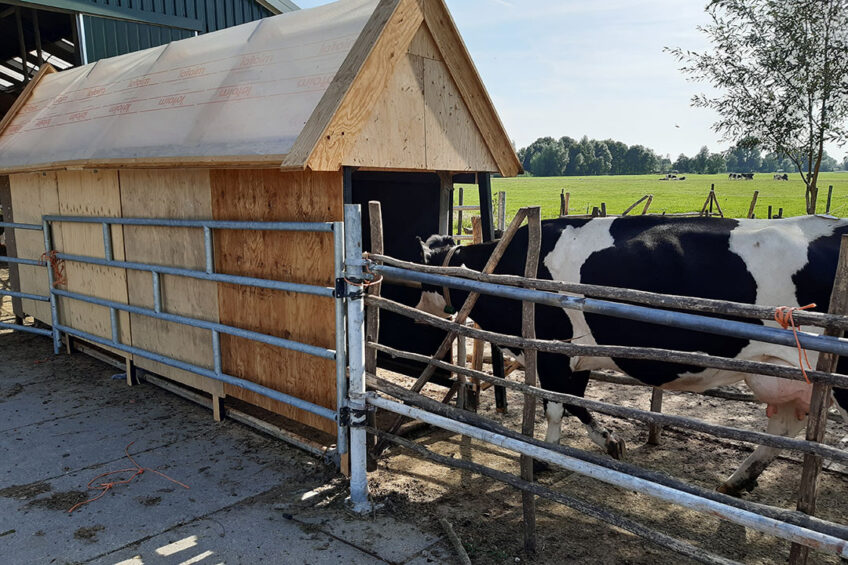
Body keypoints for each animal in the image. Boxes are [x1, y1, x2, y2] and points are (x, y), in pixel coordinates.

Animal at [416, 215, 848, 494]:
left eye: (423, 274)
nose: (420, 309)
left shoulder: (556, 350)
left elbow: (559, 405)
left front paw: (550, 455)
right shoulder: (577, 355)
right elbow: (573, 403)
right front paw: (603, 442)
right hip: (782, 375)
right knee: (782, 431)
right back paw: (736, 481)